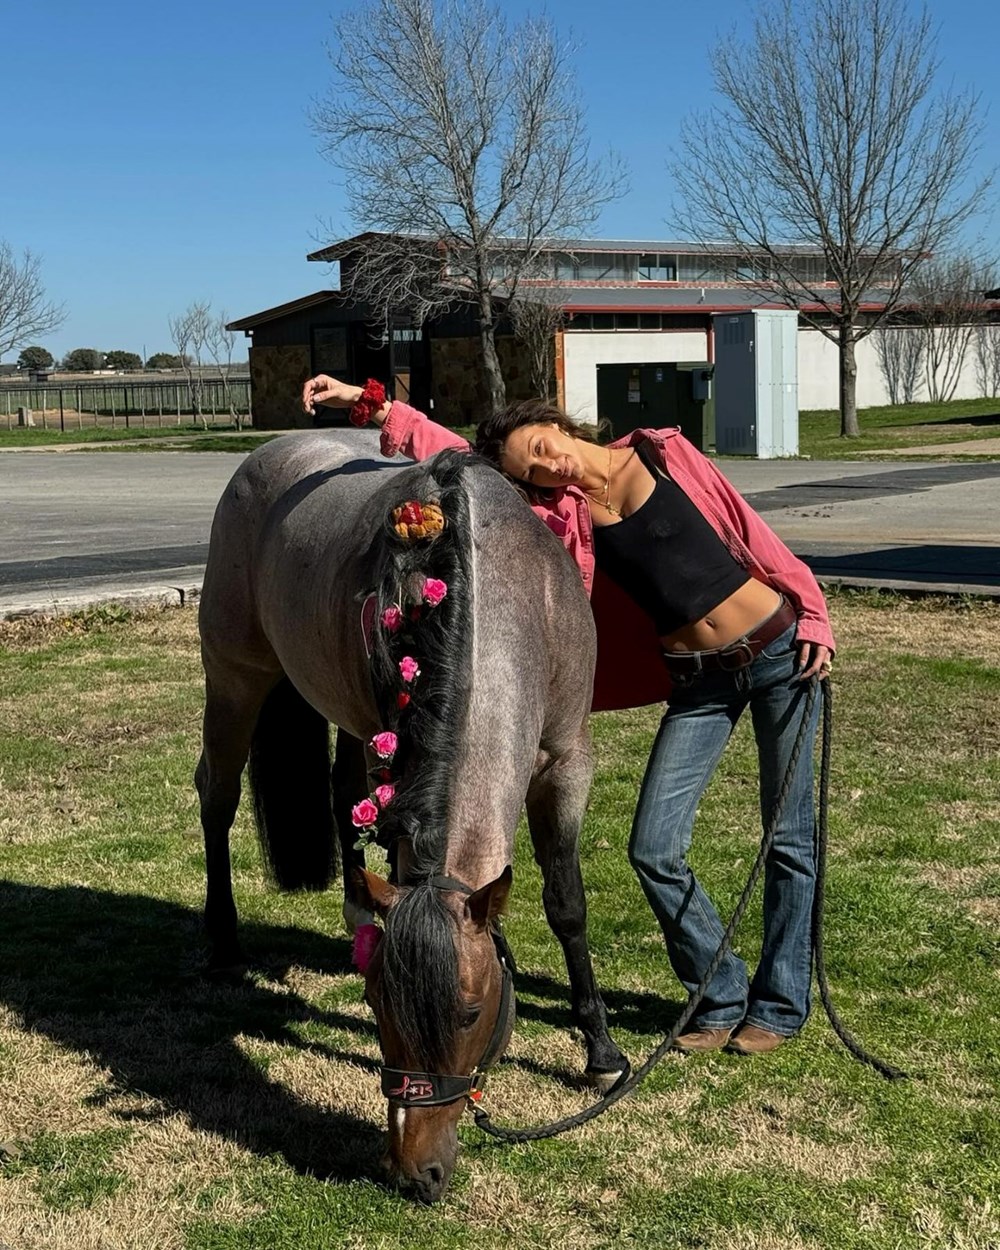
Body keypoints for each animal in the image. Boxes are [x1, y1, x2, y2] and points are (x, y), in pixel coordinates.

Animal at [193, 430, 625, 1200]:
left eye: (471, 1013)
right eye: (377, 1007)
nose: (415, 1172)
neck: (503, 590)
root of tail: (269, 451)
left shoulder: (566, 760)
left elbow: (567, 903)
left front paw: (600, 1049)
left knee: (339, 792)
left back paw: (353, 908)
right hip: (236, 677)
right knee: (217, 793)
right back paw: (222, 939)